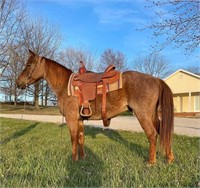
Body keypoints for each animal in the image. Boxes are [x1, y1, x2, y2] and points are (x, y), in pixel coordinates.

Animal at [16, 50, 174, 164]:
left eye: (29, 65)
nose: (18, 82)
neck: (65, 85)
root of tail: (156, 79)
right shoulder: (79, 119)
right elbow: (81, 138)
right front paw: (82, 158)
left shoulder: (71, 119)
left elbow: (73, 138)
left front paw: (73, 160)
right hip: (153, 115)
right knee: (163, 132)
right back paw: (169, 159)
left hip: (143, 114)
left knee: (152, 135)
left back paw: (151, 162)